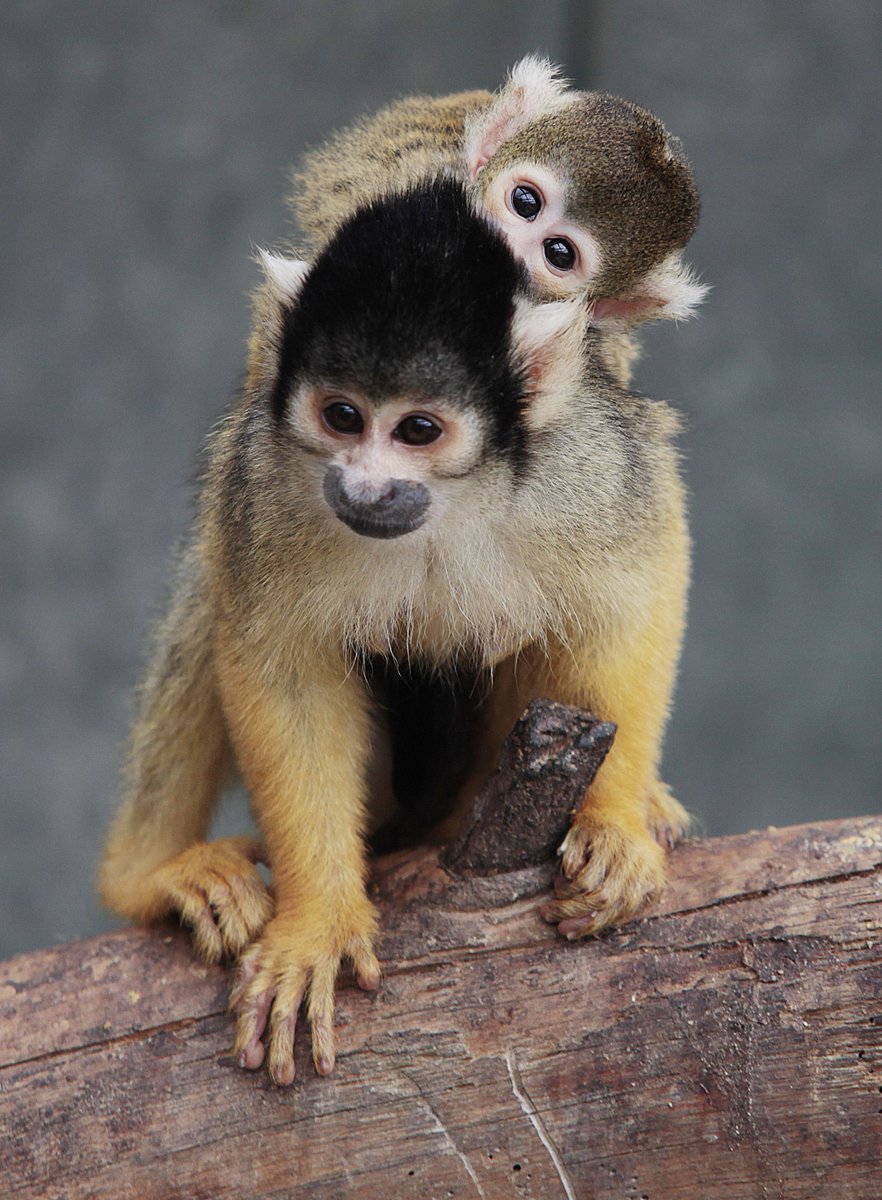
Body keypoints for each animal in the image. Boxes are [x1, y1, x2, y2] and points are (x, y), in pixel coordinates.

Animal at [99, 176, 690, 1084]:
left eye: (418, 430)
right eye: (343, 416)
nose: (368, 487)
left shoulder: (584, 462)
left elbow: (640, 579)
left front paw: (615, 823)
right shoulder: (265, 475)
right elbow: (285, 666)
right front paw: (317, 920)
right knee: (211, 585)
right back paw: (152, 875)